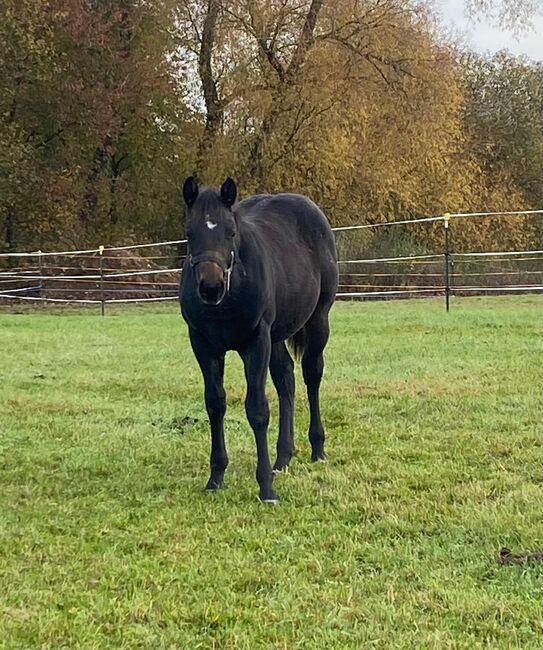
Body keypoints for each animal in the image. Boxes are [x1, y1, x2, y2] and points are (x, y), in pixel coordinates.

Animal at [181, 177, 338, 502]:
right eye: (190, 233)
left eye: (231, 232)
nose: (211, 288)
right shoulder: (203, 344)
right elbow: (215, 404)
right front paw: (215, 477)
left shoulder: (255, 342)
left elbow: (257, 409)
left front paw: (266, 487)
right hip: (277, 335)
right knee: (286, 379)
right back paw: (283, 457)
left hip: (317, 321)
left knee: (312, 375)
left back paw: (317, 449)